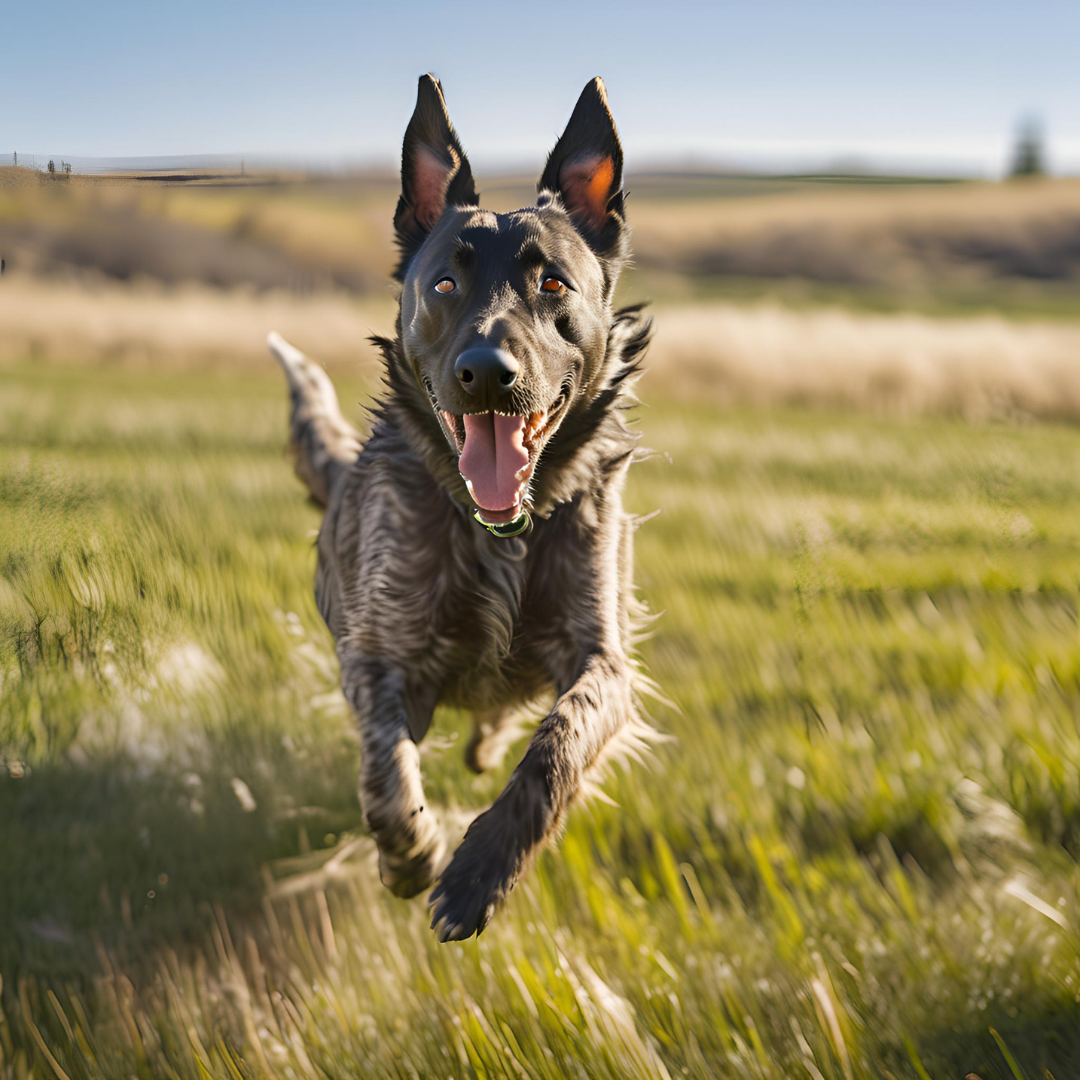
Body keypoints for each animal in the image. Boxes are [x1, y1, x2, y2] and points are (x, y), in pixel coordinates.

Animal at [274, 73, 652, 937]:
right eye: (444, 283)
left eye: (554, 283)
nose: (486, 372)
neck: (499, 530)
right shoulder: (378, 656)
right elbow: (385, 772)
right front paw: (411, 856)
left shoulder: (604, 659)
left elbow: (559, 745)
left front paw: (481, 872)